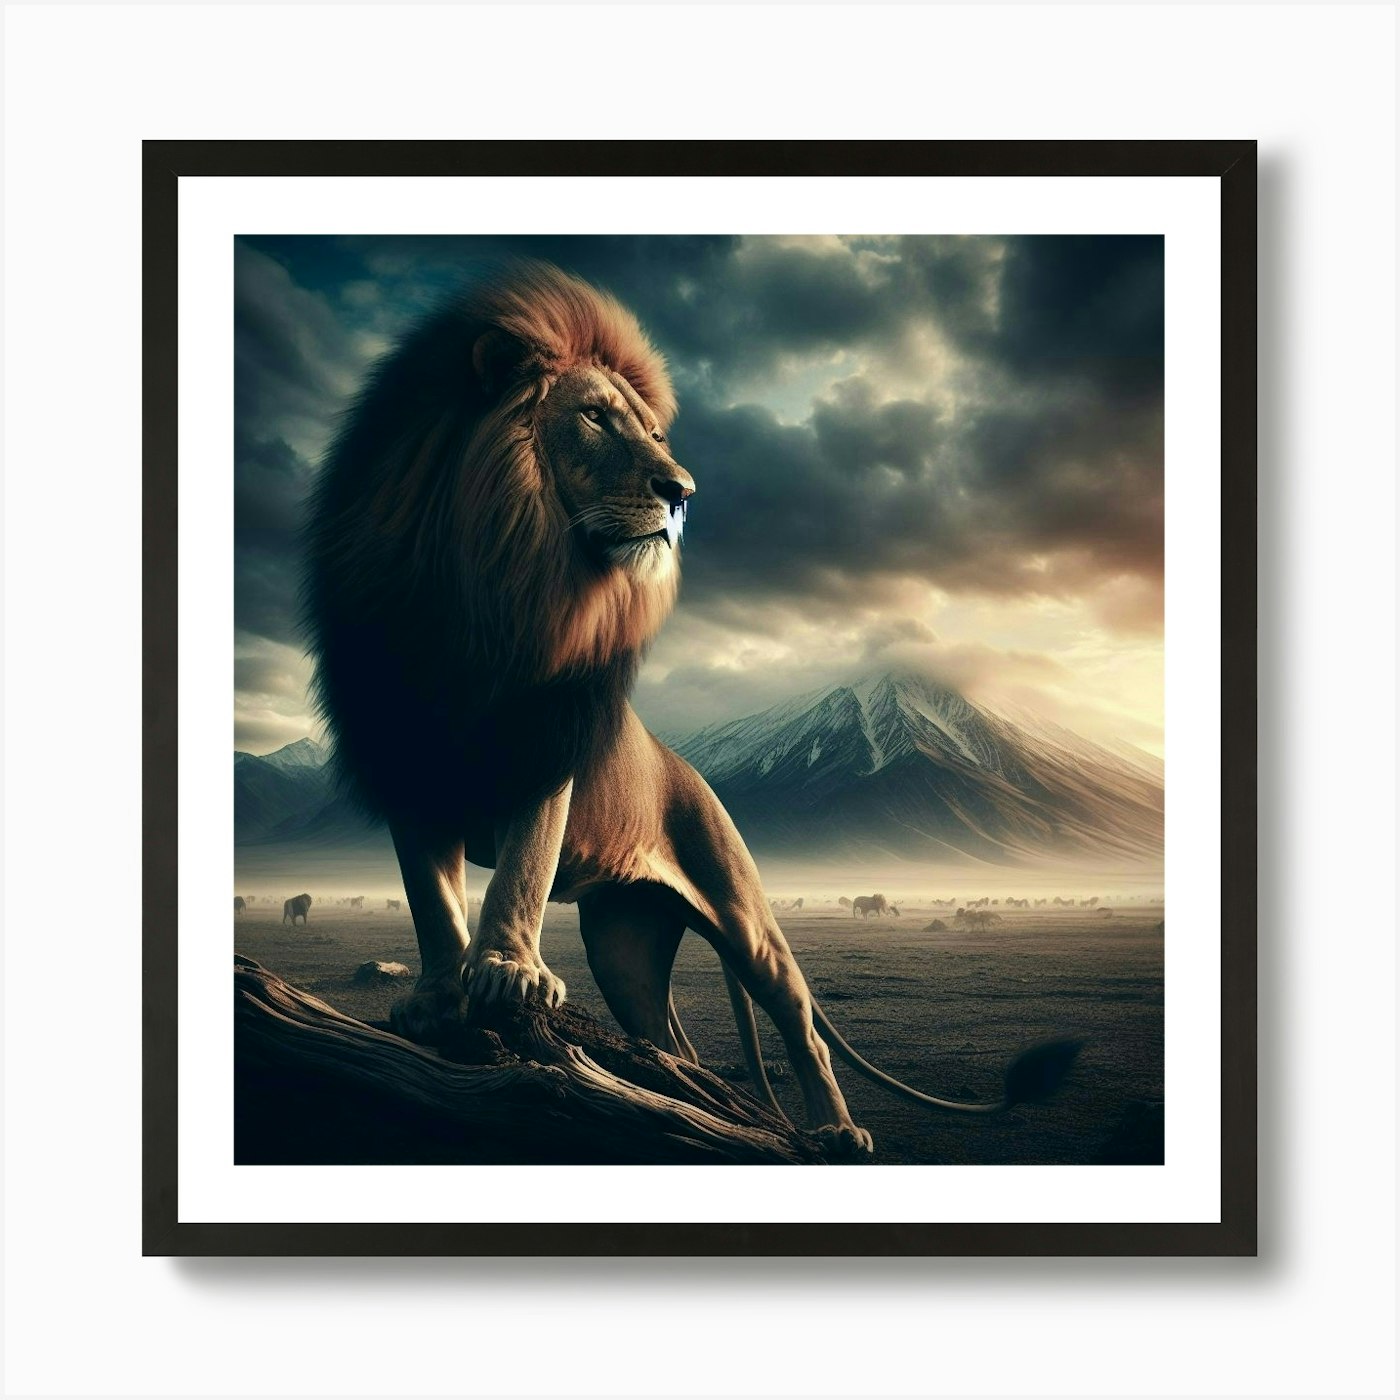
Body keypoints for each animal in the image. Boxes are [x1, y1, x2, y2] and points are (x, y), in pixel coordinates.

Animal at [304, 261, 1075, 1155]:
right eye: (596, 418)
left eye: (653, 433)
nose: (682, 492)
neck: (480, 589)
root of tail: (690, 771)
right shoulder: (403, 763)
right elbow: (431, 898)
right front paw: (438, 998)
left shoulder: (547, 748)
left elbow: (522, 868)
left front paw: (507, 972)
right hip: (625, 943)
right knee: (670, 1041)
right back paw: (677, 1096)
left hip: (742, 911)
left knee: (800, 1023)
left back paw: (838, 1132)